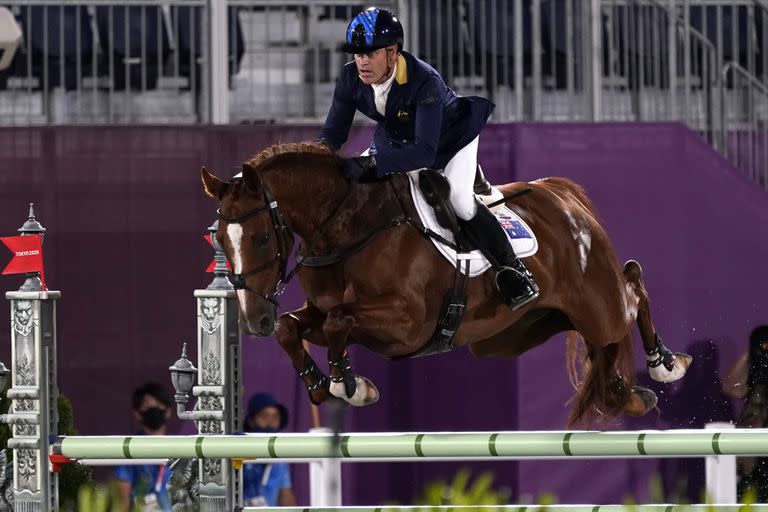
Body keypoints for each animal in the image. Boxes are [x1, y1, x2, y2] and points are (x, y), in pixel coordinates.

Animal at [201, 141, 692, 424]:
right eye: (220, 239)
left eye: (262, 237)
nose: (254, 321)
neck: (347, 226)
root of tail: (561, 196)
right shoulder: (322, 315)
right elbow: (296, 327)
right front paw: (324, 384)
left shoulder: (406, 324)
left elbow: (342, 319)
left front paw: (348, 383)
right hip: (519, 333)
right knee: (602, 352)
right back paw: (630, 398)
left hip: (599, 304)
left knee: (632, 287)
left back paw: (666, 364)